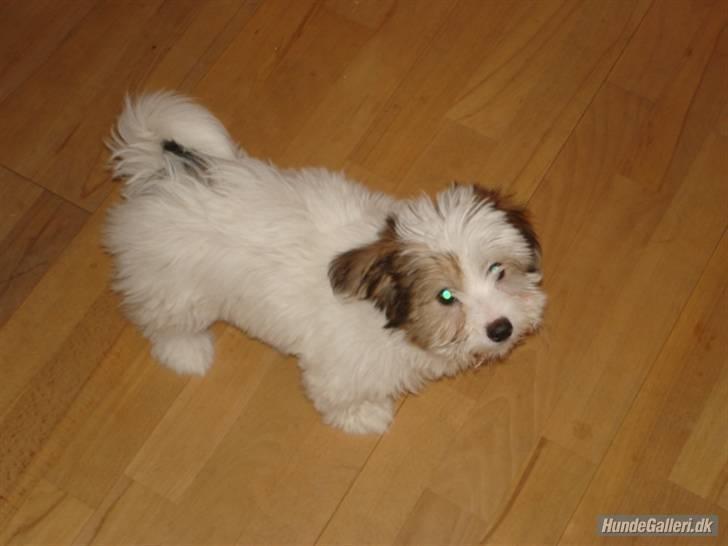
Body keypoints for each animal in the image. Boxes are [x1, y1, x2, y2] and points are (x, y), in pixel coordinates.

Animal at [104, 93, 544, 434]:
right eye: (446, 296)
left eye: (499, 270)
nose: (501, 329)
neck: (390, 320)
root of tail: (163, 174)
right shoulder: (342, 366)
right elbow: (340, 395)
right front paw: (365, 416)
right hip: (174, 284)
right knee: (163, 320)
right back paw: (187, 352)